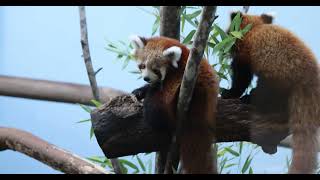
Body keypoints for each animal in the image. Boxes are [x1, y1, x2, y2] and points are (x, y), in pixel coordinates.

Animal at [129, 34, 219, 174]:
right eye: (142, 66)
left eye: (156, 70)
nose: (146, 78)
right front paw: (140, 90)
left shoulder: (177, 76)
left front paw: (148, 90)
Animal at [222, 11, 320, 174]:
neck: (254, 28)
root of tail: (309, 76)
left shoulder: (245, 55)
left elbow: (241, 79)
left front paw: (230, 93)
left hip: (278, 75)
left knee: (269, 93)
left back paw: (251, 98)